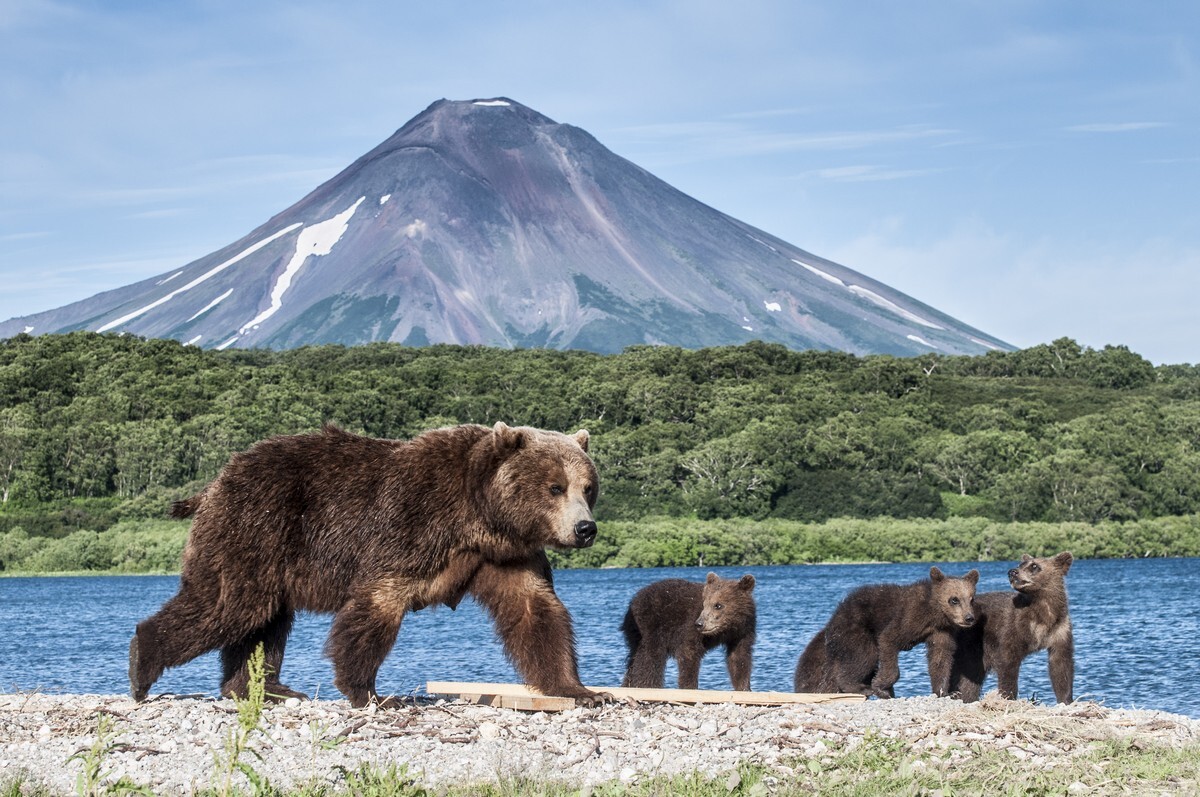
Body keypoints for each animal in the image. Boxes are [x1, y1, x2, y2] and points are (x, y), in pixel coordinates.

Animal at [129, 420, 609, 705]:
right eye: (554, 487)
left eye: (587, 486)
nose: (585, 528)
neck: (479, 516)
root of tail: (215, 482)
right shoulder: (411, 527)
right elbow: (375, 609)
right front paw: (370, 692)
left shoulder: (507, 555)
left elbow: (535, 611)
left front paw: (579, 689)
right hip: (256, 527)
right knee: (229, 606)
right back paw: (141, 667)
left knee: (264, 621)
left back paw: (266, 688)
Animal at [624, 573, 753, 691]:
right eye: (704, 604)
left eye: (718, 605)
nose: (700, 624)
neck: (726, 629)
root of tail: (633, 601)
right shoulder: (690, 626)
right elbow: (688, 653)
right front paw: (689, 686)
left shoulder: (742, 633)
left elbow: (739, 658)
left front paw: (744, 687)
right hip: (651, 626)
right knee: (649, 658)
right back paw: (647, 685)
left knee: (634, 661)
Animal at [792, 566, 979, 696]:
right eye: (954, 599)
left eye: (971, 599)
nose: (969, 618)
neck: (934, 613)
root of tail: (831, 621)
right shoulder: (908, 617)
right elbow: (889, 640)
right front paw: (881, 687)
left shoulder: (941, 631)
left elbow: (941, 658)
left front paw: (947, 692)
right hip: (856, 630)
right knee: (863, 655)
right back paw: (859, 687)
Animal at [931, 552, 1075, 700]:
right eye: (1020, 564)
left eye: (1034, 566)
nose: (1012, 572)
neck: (1043, 612)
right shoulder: (1013, 627)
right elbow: (1008, 662)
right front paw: (1008, 695)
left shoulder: (1059, 629)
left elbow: (1061, 665)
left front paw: (1066, 699)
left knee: (970, 680)